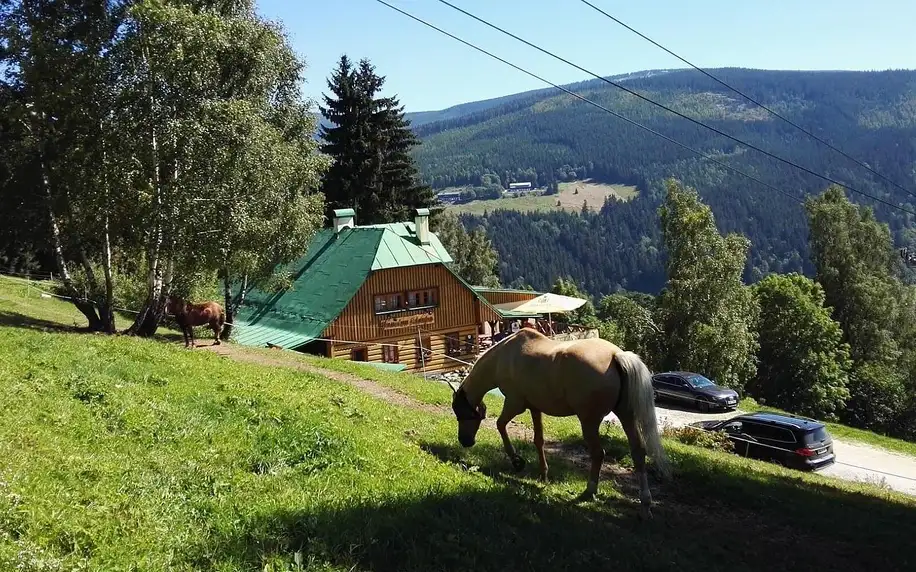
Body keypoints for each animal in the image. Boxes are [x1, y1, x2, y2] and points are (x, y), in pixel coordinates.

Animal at [448, 326, 668, 520]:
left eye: (461, 413)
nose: (465, 441)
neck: (505, 356)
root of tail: (616, 355)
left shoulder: (514, 404)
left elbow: (500, 425)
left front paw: (517, 461)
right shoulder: (535, 408)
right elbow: (538, 440)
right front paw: (543, 474)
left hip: (589, 421)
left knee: (598, 454)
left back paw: (590, 491)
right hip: (626, 416)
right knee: (638, 452)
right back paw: (645, 506)